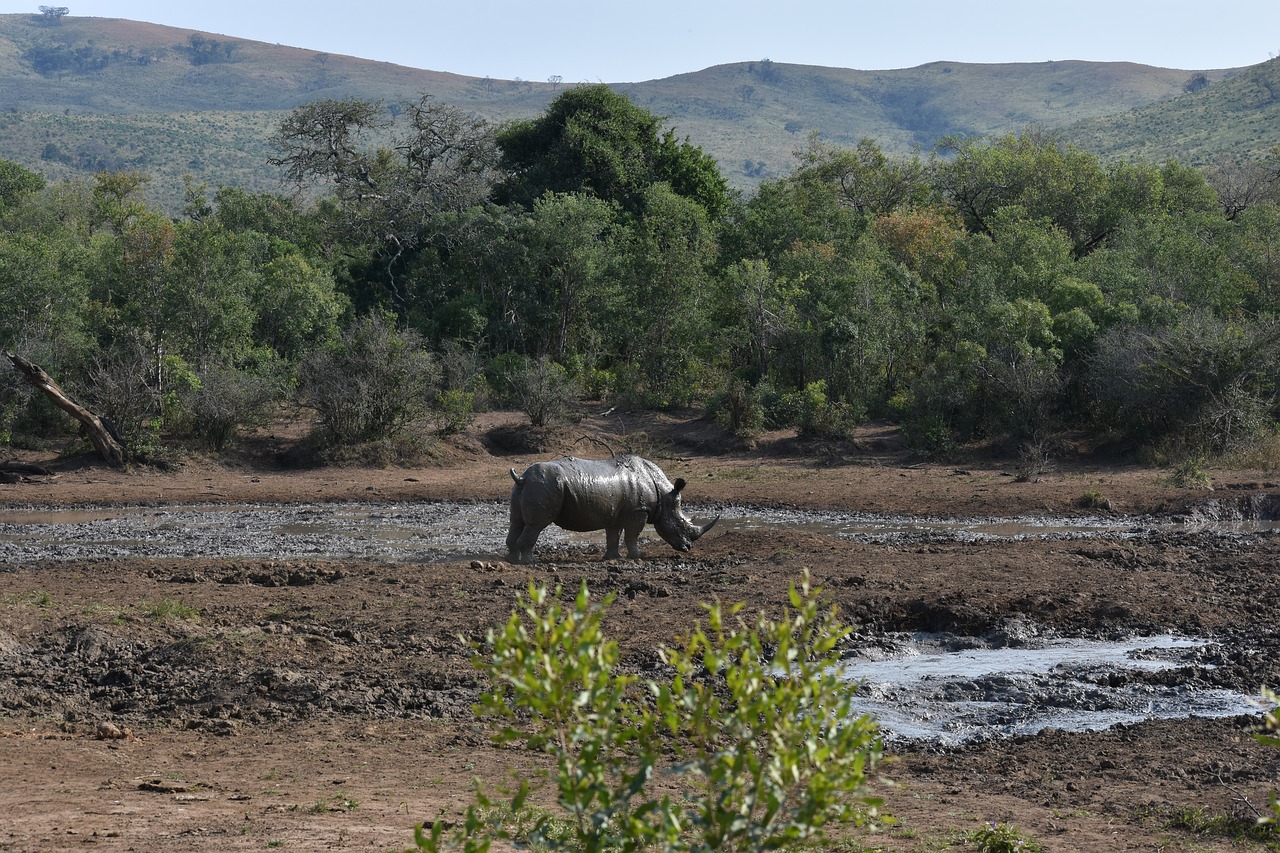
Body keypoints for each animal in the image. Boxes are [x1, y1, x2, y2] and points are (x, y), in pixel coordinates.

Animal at [501, 450, 721, 563]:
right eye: (681, 524)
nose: (688, 547)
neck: (664, 494)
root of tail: (523, 478)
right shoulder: (639, 510)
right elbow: (632, 534)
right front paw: (639, 556)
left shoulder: (617, 513)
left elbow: (613, 535)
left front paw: (612, 558)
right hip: (543, 486)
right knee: (535, 525)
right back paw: (529, 562)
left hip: (526, 488)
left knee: (516, 522)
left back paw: (512, 560)